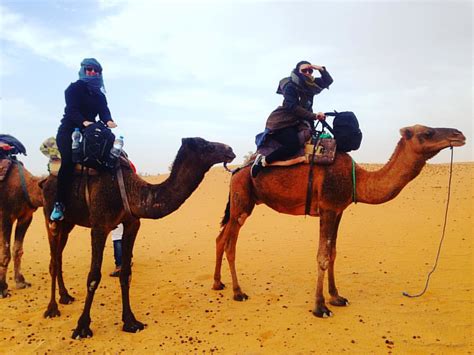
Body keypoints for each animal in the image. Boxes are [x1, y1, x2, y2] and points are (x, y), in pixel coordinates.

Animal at [0, 159, 43, 298]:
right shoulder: (5, 217)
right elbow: (5, 254)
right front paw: (2, 289)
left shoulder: (26, 217)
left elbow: (18, 250)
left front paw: (20, 281)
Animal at [40, 136, 235, 340]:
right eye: (207, 146)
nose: (230, 150)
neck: (129, 190)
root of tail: (45, 180)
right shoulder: (100, 226)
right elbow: (93, 277)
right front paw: (82, 327)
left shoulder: (132, 224)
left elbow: (126, 273)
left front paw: (130, 322)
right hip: (51, 218)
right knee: (53, 260)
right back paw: (52, 308)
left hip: (68, 223)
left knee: (58, 257)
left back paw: (65, 296)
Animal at [214, 124, 466, 318]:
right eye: (428, 132)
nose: (459, 135)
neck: (358, 180)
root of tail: (236, 171)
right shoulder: (327, 208)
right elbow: (322, 256)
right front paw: (320, 307)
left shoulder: (338, 210)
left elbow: (333, 253)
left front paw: (336, 297)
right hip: (242, 202)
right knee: (230, 244)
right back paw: (238, 292)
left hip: (242, 203)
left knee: (220, 238)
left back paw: (218, 284)